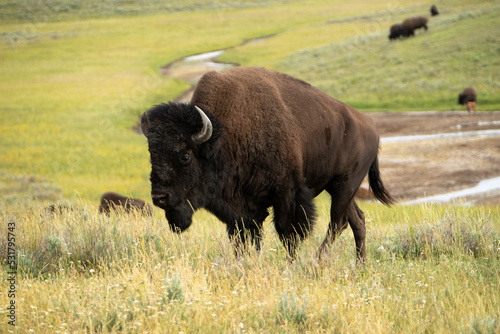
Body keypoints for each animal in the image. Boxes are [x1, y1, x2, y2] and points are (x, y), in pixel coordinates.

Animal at [139, 66, 392, 262]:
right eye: (152, 153)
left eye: (185, 156)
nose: (159, 197)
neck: (222, 135)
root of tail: (371, 125)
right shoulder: (241, 208)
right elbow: (244, 238)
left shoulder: (286, 194)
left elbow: (287, 233)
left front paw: (289, 264)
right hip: (338, 187)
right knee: (356, 220)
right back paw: (360, 264)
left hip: (345, 184)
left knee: (337, 222)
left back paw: (319, 259)